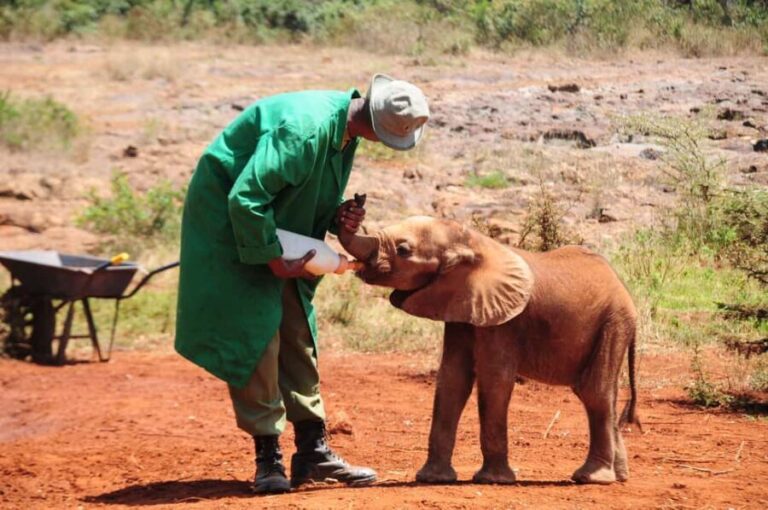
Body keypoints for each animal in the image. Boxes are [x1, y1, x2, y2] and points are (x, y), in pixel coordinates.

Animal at [339, 216, 641, 485]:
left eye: (403, 250)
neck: (471, 242)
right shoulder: (460, 306)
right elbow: (453, 378)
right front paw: (431, 479)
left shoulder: (504, 320)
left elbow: (494, 380)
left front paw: (492, 480)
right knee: (600, 394)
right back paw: (620, 476)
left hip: (613, 323)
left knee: (594, 392)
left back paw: (591, 478)